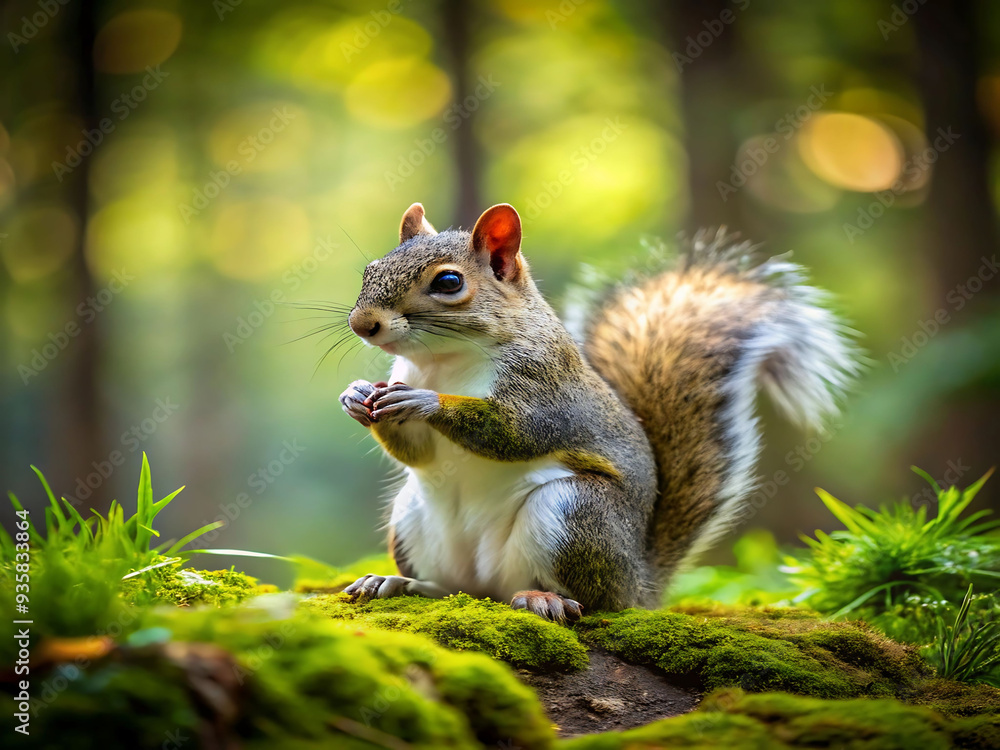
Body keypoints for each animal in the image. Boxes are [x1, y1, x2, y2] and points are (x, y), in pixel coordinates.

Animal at [339, 202, 859, 621]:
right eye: (369, 269)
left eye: (449, 282)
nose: (363, 324)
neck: (441, 361)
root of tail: (639, 583)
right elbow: (419, 455)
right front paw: (356, 396)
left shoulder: (546, 388)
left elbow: (516, 432)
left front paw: (424, 402)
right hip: (414, 518)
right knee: (454, 590)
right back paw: (400, 583)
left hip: (574, 513)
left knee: (594, 601)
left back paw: (545, 598)